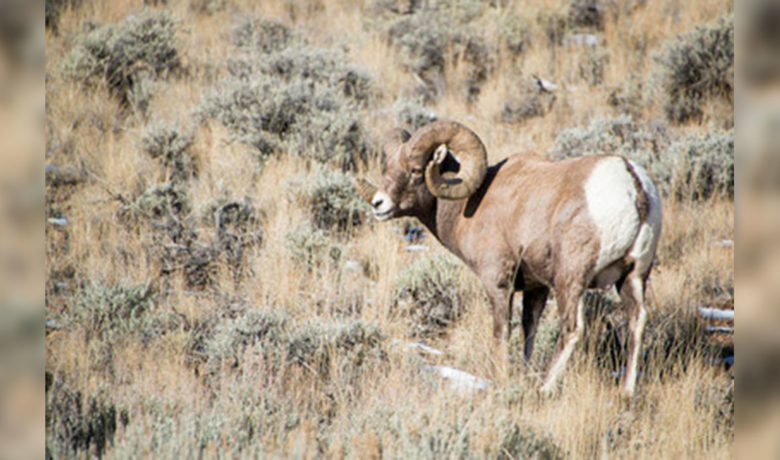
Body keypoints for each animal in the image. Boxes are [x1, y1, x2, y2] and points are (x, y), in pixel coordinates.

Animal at [354, 120, 662, 396]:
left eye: (416, 170)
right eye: (388, 168)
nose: (379, 204)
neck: (471, 204)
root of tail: (632, 185)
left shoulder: (499, 284)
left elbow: (501, 333)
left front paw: (501, 380)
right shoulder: (536, 289)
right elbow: (529, 331)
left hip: (571, 280)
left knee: (572, 329)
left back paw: (544, 389)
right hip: (633, 276)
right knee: (636, 322)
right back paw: (627, 392)